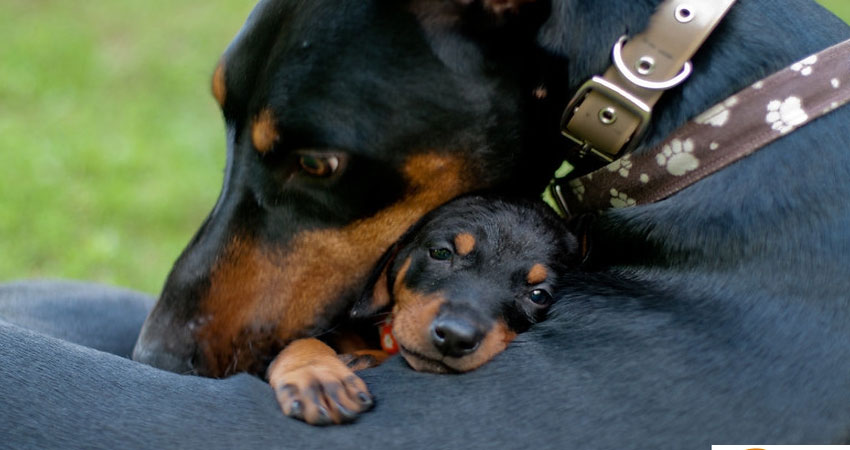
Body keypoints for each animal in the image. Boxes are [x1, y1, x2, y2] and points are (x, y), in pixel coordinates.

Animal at [268, 194, 580, 426]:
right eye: (441, 253)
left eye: (539, 295)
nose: (455, 336)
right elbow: (307, 341)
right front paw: (316, 375)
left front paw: (361, 359)